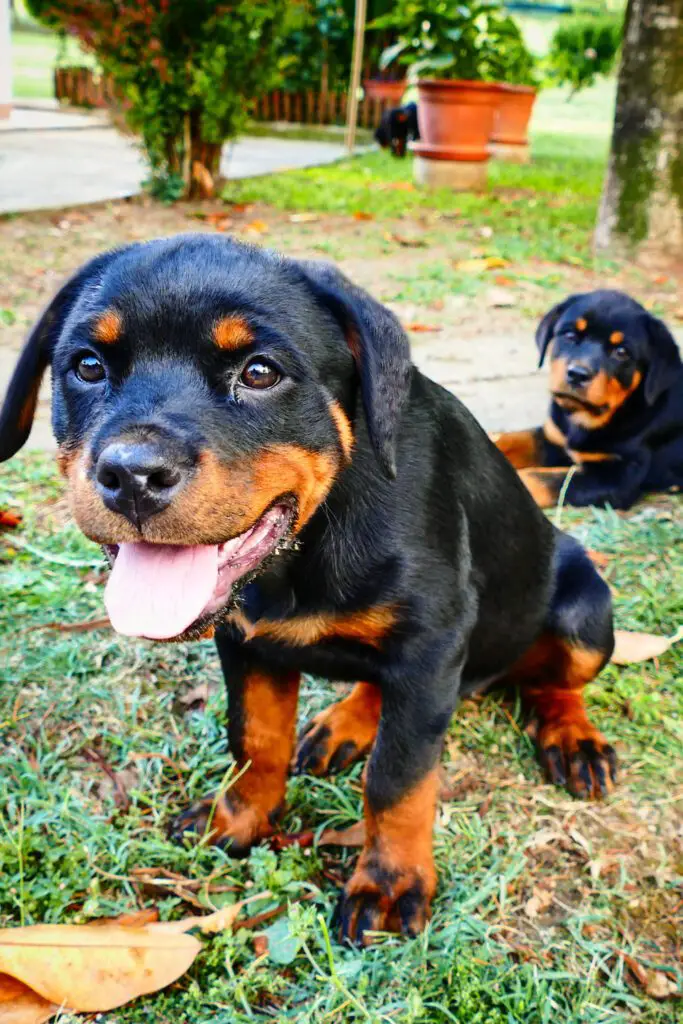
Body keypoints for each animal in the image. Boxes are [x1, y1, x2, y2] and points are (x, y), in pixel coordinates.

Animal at [0, 237, 618, 942]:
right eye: (87, 366)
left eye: (260, 373)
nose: (131, 476)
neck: (304, 547)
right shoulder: (247, 642)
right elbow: (256, 739)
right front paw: (238, 816)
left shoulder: (432, 642)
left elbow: (398, 779)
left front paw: (388, 883)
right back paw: (343, 724)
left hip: (584, 611)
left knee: (554, 682)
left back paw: (574, 740)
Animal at [493, 290, 679, 509]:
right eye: (570, 335)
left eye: (621, 352)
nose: (577, 374)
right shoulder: (553, 437)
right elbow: (510, 440)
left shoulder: (618, 476)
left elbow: (542, 479)